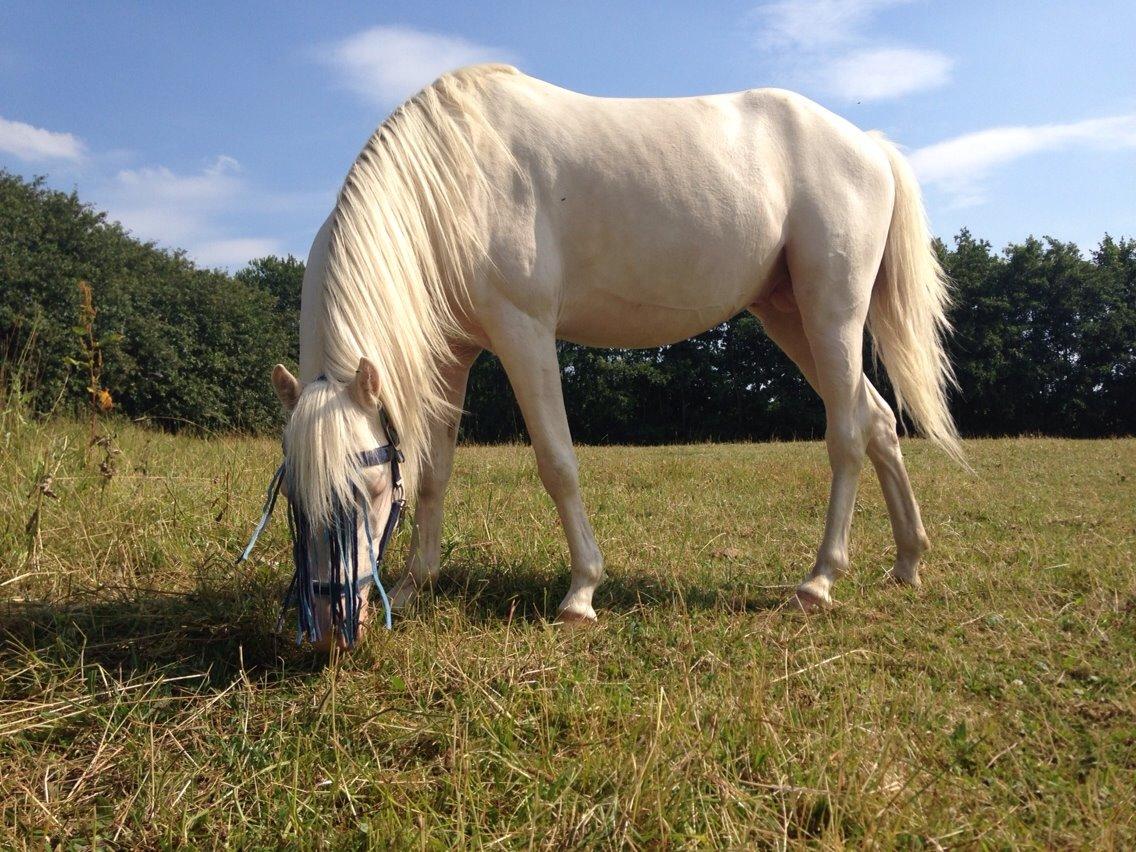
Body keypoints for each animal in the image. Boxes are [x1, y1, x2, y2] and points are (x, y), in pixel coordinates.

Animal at [268, 65, 967, 654]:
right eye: (294, 499)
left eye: (369, 488)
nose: (329, 629)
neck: (452, 178)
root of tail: (869, 147)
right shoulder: (452, 356)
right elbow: (434, 473)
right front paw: (416, 586)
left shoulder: (524, 331)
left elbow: (557, 463)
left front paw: (580, 592)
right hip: (790, 316)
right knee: (878, 422)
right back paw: (908, 561)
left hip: (833, 314)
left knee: (847, 435)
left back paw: (819, 581)